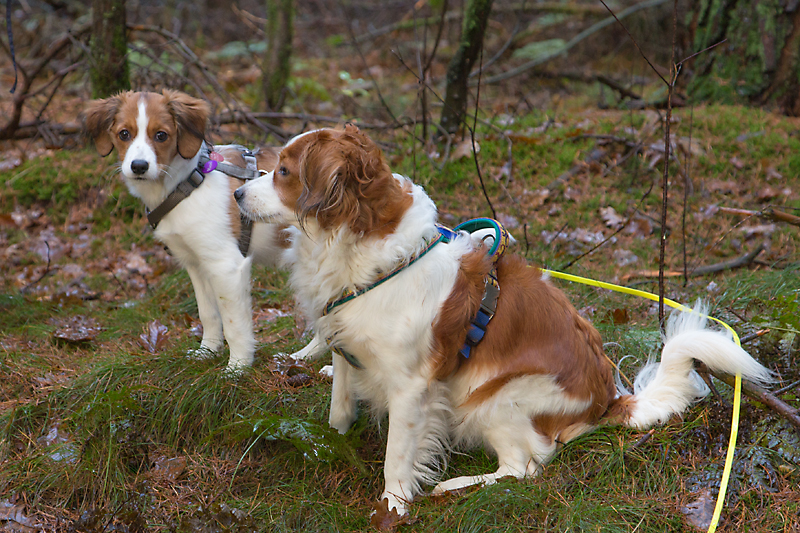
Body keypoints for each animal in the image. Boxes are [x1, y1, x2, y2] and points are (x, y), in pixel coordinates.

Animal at [86, 89, 324, 372]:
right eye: (124, 134)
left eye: (161, 135)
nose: (139, 166)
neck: (187, 183)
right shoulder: (196, 264)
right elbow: (208, 312)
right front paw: (207, 351)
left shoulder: (226, 265)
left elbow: (234, 323)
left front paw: (238, 367)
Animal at [234, 124, 772, 516]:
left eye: (284, 171)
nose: (238, 194)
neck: (362, 254)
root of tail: (610, 399)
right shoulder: (349, 350)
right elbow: (339, 410)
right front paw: (331, 442)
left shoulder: (412, 385)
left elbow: (396, 457)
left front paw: (393, 507)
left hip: (492, 398)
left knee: (523, 468)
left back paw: (456, 484)